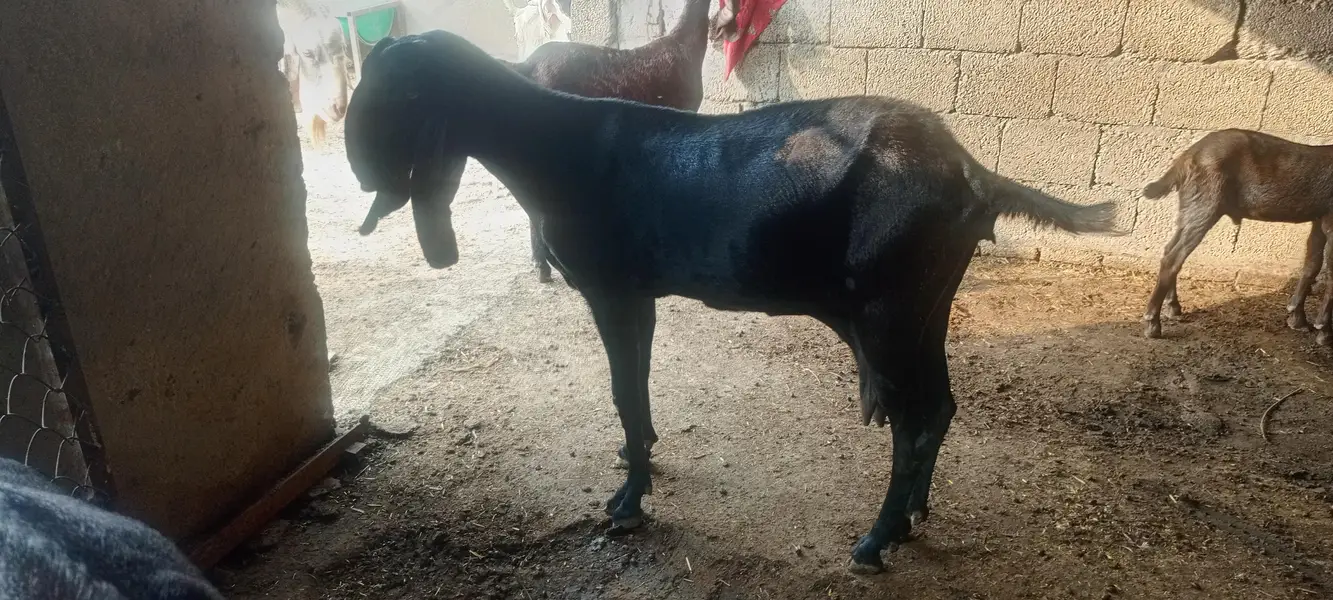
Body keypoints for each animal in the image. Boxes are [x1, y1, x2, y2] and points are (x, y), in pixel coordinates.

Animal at [344, 31, 1118, 574]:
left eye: (394, 97)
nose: (359, 171)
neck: (556, 146)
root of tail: (971, 173)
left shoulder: (609, 291)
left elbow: (622, 391)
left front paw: (628, 503)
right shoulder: (640, 296)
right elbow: (637, 389)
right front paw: (640, 459)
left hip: (887, 314)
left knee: (914, 419)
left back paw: (875, 539)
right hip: (924, 309)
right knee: (940, 407)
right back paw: (911, 515)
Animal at [1140, 129, 1333, 344]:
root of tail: (1188, 155)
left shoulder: (1319, 218)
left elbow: (1312, 265)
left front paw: (1297, 319)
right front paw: (1324, 331)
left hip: (1190, 204)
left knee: (1171, 249)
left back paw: (1173, 307)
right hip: (1206, 201)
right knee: (1174, 257)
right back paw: (1153, 324)